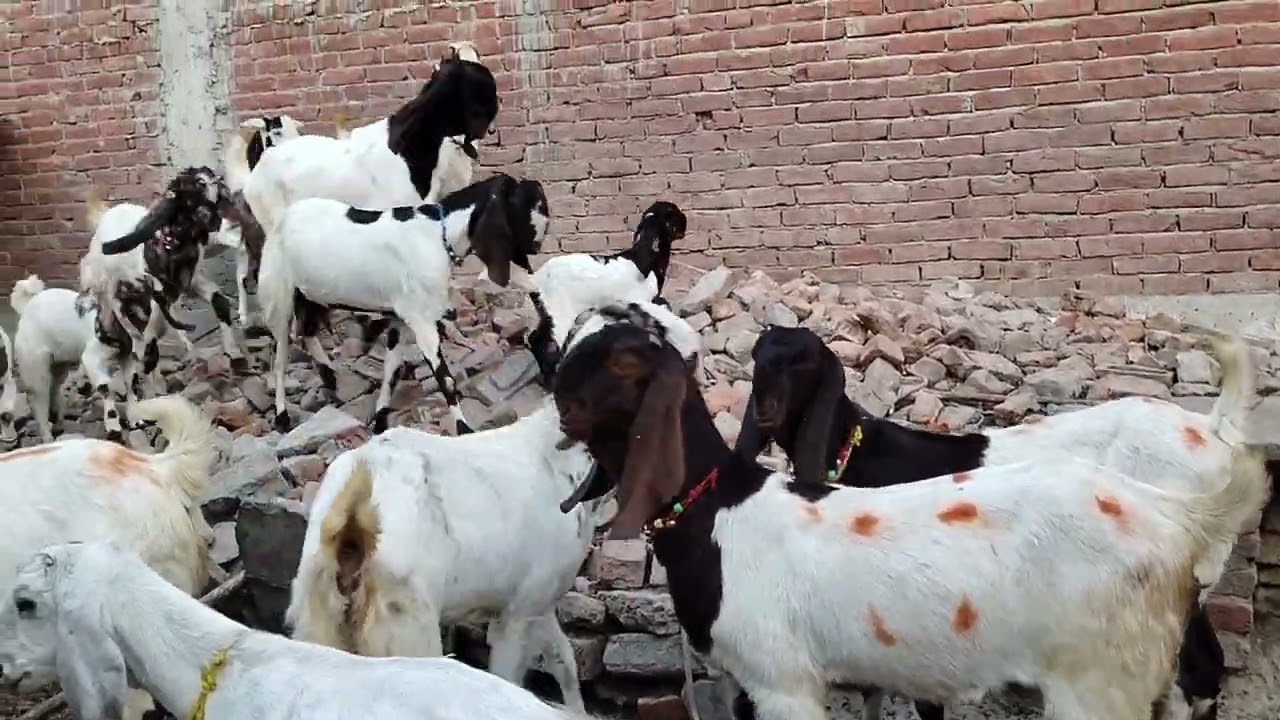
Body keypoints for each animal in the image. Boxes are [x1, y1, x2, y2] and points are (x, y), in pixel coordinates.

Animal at [1, 275, 141, 443]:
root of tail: (26, 307)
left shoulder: (128, 357)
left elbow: (132, 382)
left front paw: (136, 420)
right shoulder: (92, 358)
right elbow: (105, 387)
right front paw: (114, 428)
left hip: (59, 363)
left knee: (54, 388)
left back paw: (58, 423)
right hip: (34, 363)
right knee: (38, 398)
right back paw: (48, 438)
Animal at [257, 173, 547, 435]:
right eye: (521, 215)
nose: (536, 248)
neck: (438, 233)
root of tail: (283, 218)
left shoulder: (402, 317)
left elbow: (392, 370)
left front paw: (381, 421)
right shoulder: (422, 320)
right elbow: (446, 380)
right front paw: (464, 429)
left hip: (313, 293)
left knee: (307, 330)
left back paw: (329, 376)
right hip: (279, 295)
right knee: (281, 355)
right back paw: (282, 416)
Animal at [524, 201, 687, 386]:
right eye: (674, 214)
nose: (685, 223)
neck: (644, 259)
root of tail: (535, 279)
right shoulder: (641, 303)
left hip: (544, 312)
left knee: (534, 339)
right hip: (558, 314)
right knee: (546, 344)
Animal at [551, 318, 1269, 720]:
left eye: (622, 361)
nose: (554, 390)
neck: (720, 510)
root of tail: (1175, 513)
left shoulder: (785, 682)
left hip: (1099, 681)